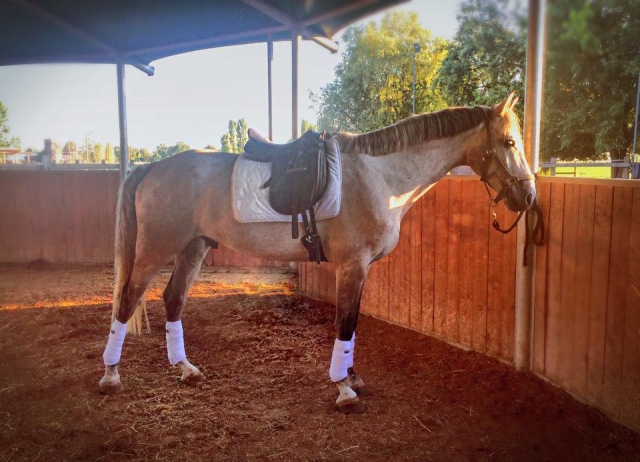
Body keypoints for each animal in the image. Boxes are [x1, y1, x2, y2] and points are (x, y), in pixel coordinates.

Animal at [99, 92, 535, 414]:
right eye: (510, 142)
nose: (529, 196)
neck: (380, 177)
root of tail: (152, 167)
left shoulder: (361, 269)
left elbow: (352, 323)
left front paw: (352, 377)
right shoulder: (352, 266)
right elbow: (345, 323)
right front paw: (344, 389)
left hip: (194, 247)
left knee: (173, 299)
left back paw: (185, 369)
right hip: (156, 248)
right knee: (127, 300)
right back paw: (111, 376)